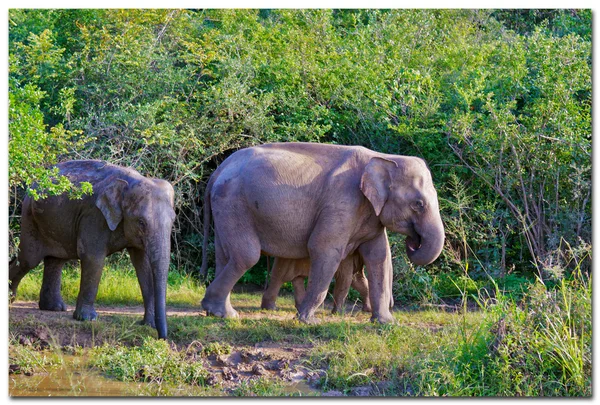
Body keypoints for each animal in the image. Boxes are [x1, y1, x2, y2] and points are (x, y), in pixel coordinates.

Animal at [9, 159, 175, 340]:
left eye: (173, 219)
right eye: (141, 222)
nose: (162, 338)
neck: (129, 183)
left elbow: (142, 265)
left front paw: (148, 325)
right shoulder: (94, 215)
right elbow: (93, 258)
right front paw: (87, 319)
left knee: (56, 260)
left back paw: (54, 308)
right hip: (29, 216)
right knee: (28, 259)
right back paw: (11, 299)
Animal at [199, 140, 442, 324]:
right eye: (418, 204)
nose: (413, 241)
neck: (383, 157)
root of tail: (219, 170)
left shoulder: (370, 214)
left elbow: (378, 257)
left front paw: (387, 323)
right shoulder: (341, 202)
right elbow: (325, 250)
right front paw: (308, 321)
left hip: (226, 209)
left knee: (225, 256)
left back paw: (219, 312)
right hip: (234, 204)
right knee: (246, 256)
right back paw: (225, 314)